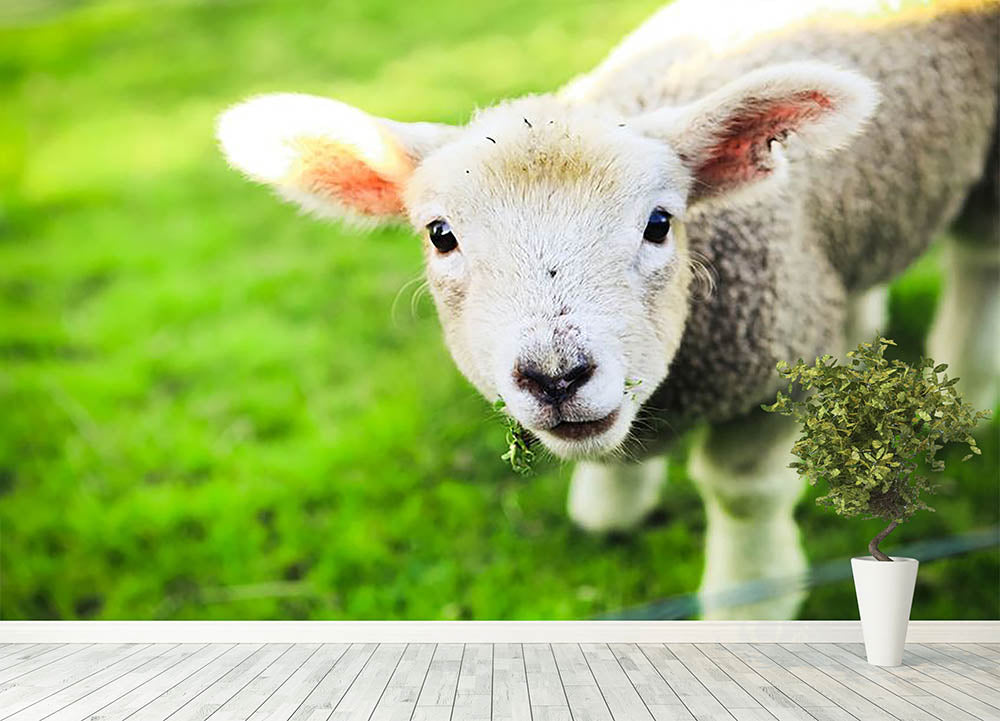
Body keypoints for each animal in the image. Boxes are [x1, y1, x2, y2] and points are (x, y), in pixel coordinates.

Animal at [217, 0, 999, 619]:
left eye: (660, 222)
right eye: (441, 235)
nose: (556, 376)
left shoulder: (770, 372)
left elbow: (743, 497)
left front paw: (750, 606)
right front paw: (610, 507)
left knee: (977, 260)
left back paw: (966, 382)